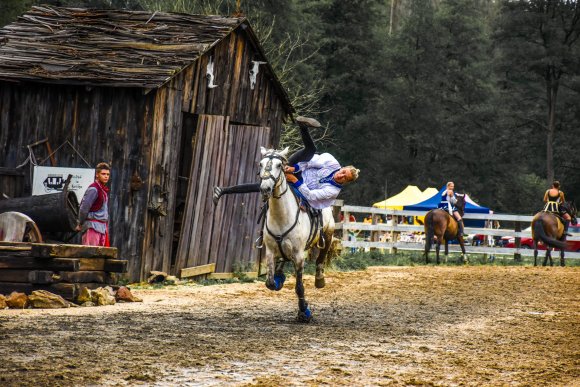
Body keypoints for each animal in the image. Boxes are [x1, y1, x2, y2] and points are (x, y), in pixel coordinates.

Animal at [258, 147, 336, 322]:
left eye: (279, 165)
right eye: (261, 164)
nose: (265, 188)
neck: (281, 216)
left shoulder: (299, 255)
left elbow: (299, 287)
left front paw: (304, 311)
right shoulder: (270, 252)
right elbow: (270, 283)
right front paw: (278, 279)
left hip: (328, 233)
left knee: (322, 254)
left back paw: (319, 278)